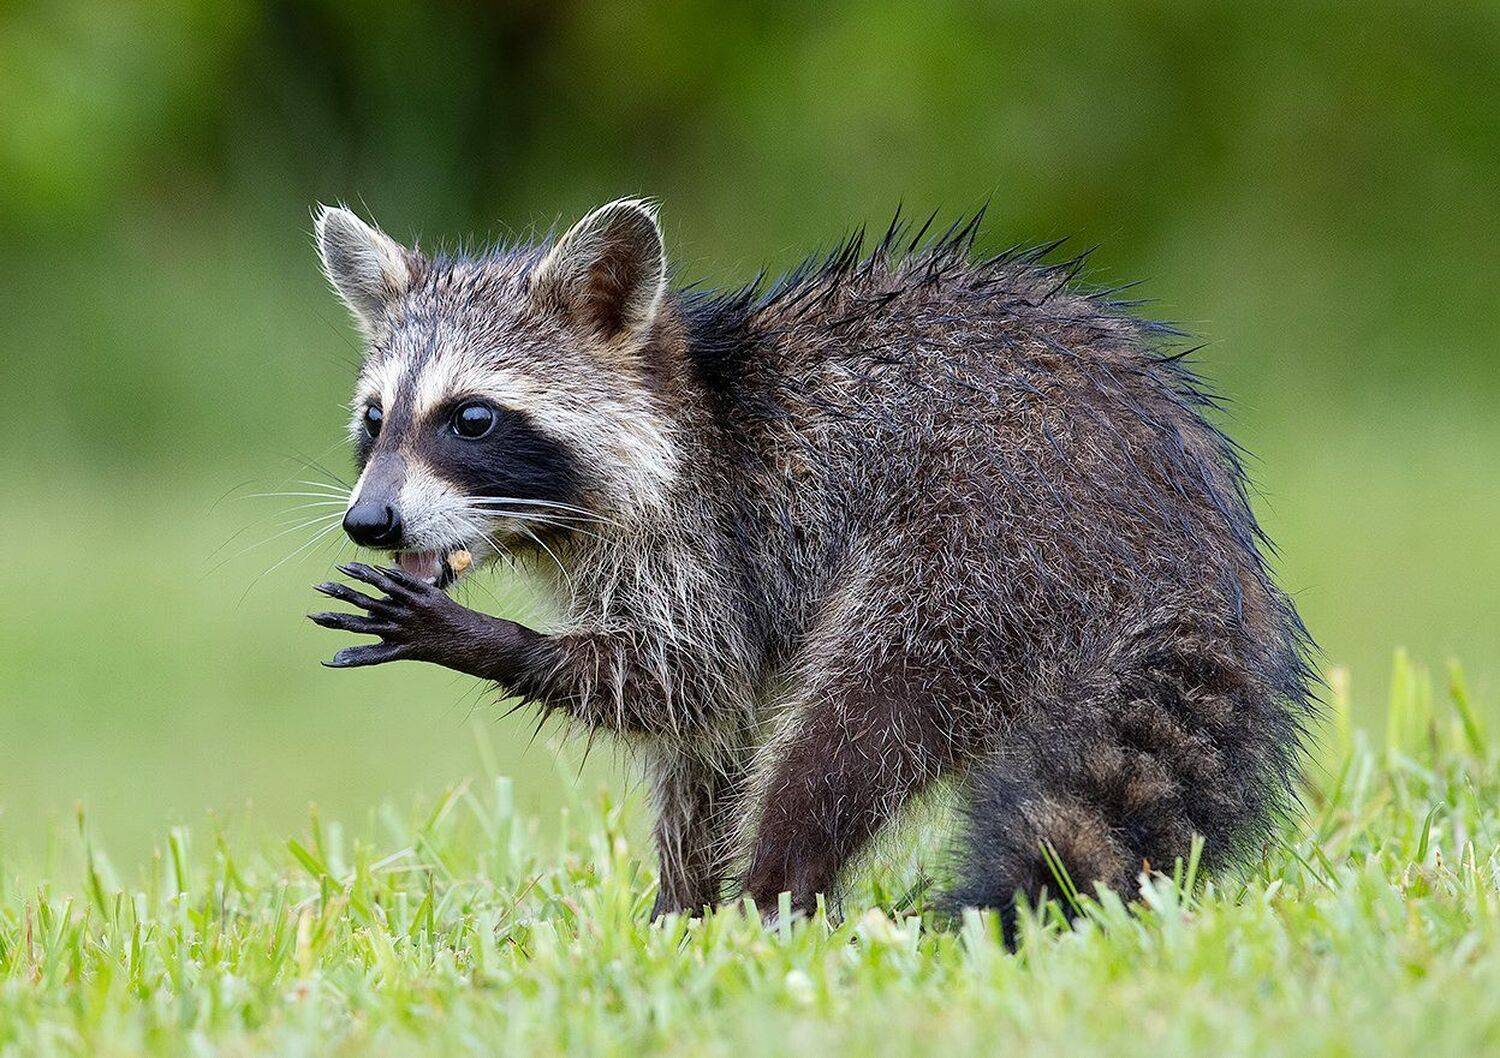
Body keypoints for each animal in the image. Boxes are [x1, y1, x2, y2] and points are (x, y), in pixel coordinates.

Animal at [308, 198, 1314, 931]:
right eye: (375, 418)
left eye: (470, 418)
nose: (370, 520)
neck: (689, 405)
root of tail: (1195, 539)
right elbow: (705, 744)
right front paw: (679, 906)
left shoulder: (710, 534)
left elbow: (687, 676)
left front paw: (480, 637)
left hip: (988, 549)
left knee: (856, 725)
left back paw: (777, 892)